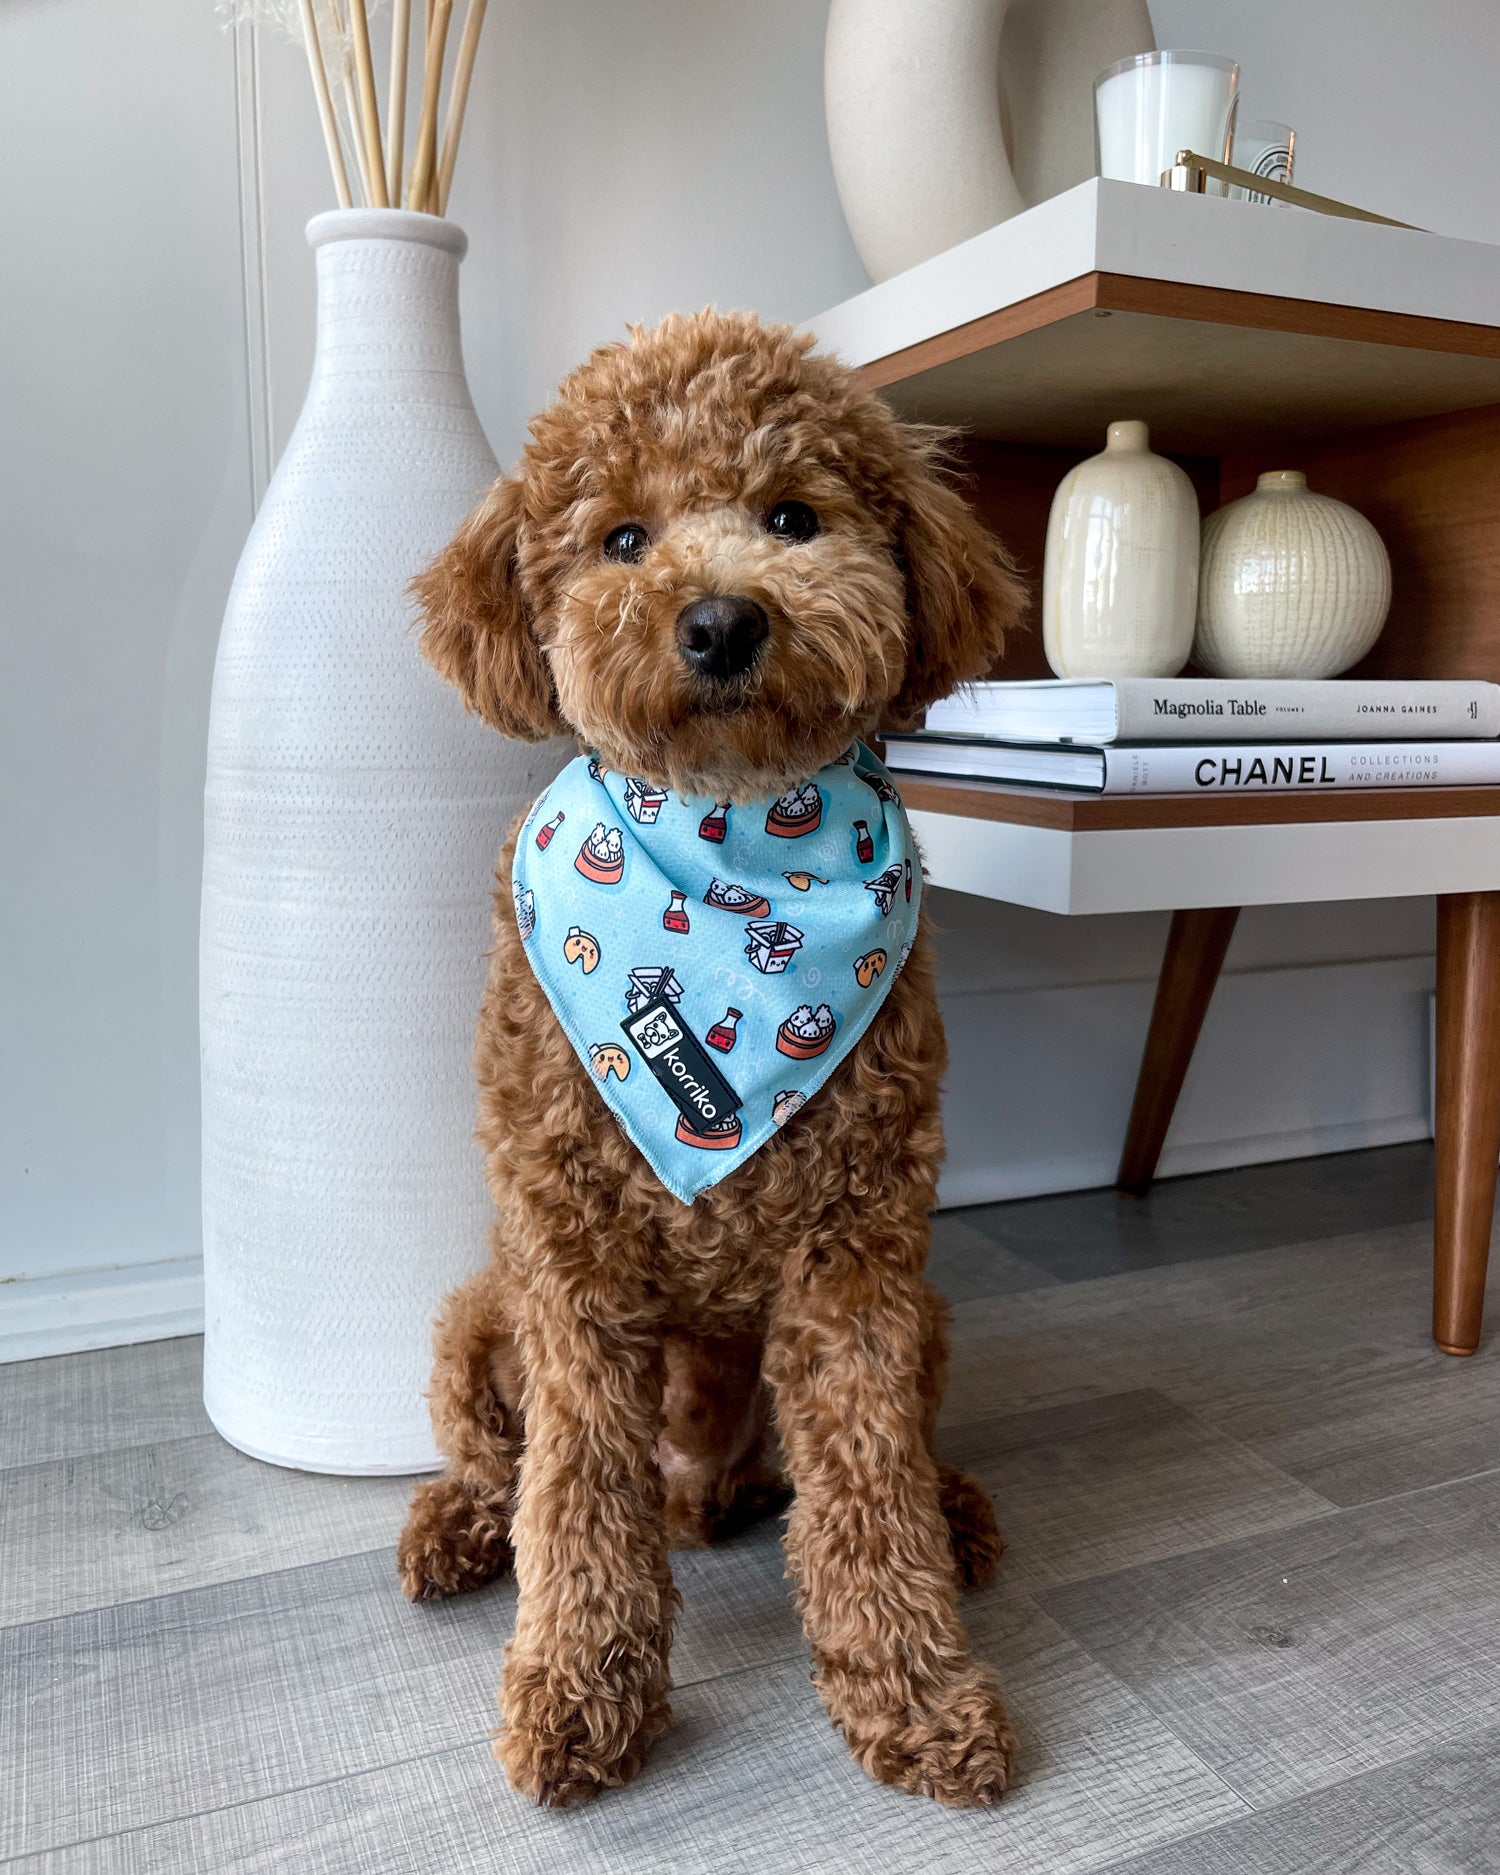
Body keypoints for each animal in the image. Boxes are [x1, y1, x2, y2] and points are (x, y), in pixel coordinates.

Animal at [395, 303, 1035, 1800]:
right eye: (622, 536)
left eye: (793, 515)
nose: (723, 619)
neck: (738, 850)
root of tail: (705, 1493)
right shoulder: (569, 1270)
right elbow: (575, 1498)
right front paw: (579, 1692)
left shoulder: (858, 1264)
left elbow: (868, 1497)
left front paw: (916, 1691)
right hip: (479, 1316)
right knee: (502, 1468)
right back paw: (456, 1530)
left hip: (923, 1317)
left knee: (866, 1467)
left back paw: (954, 1512)